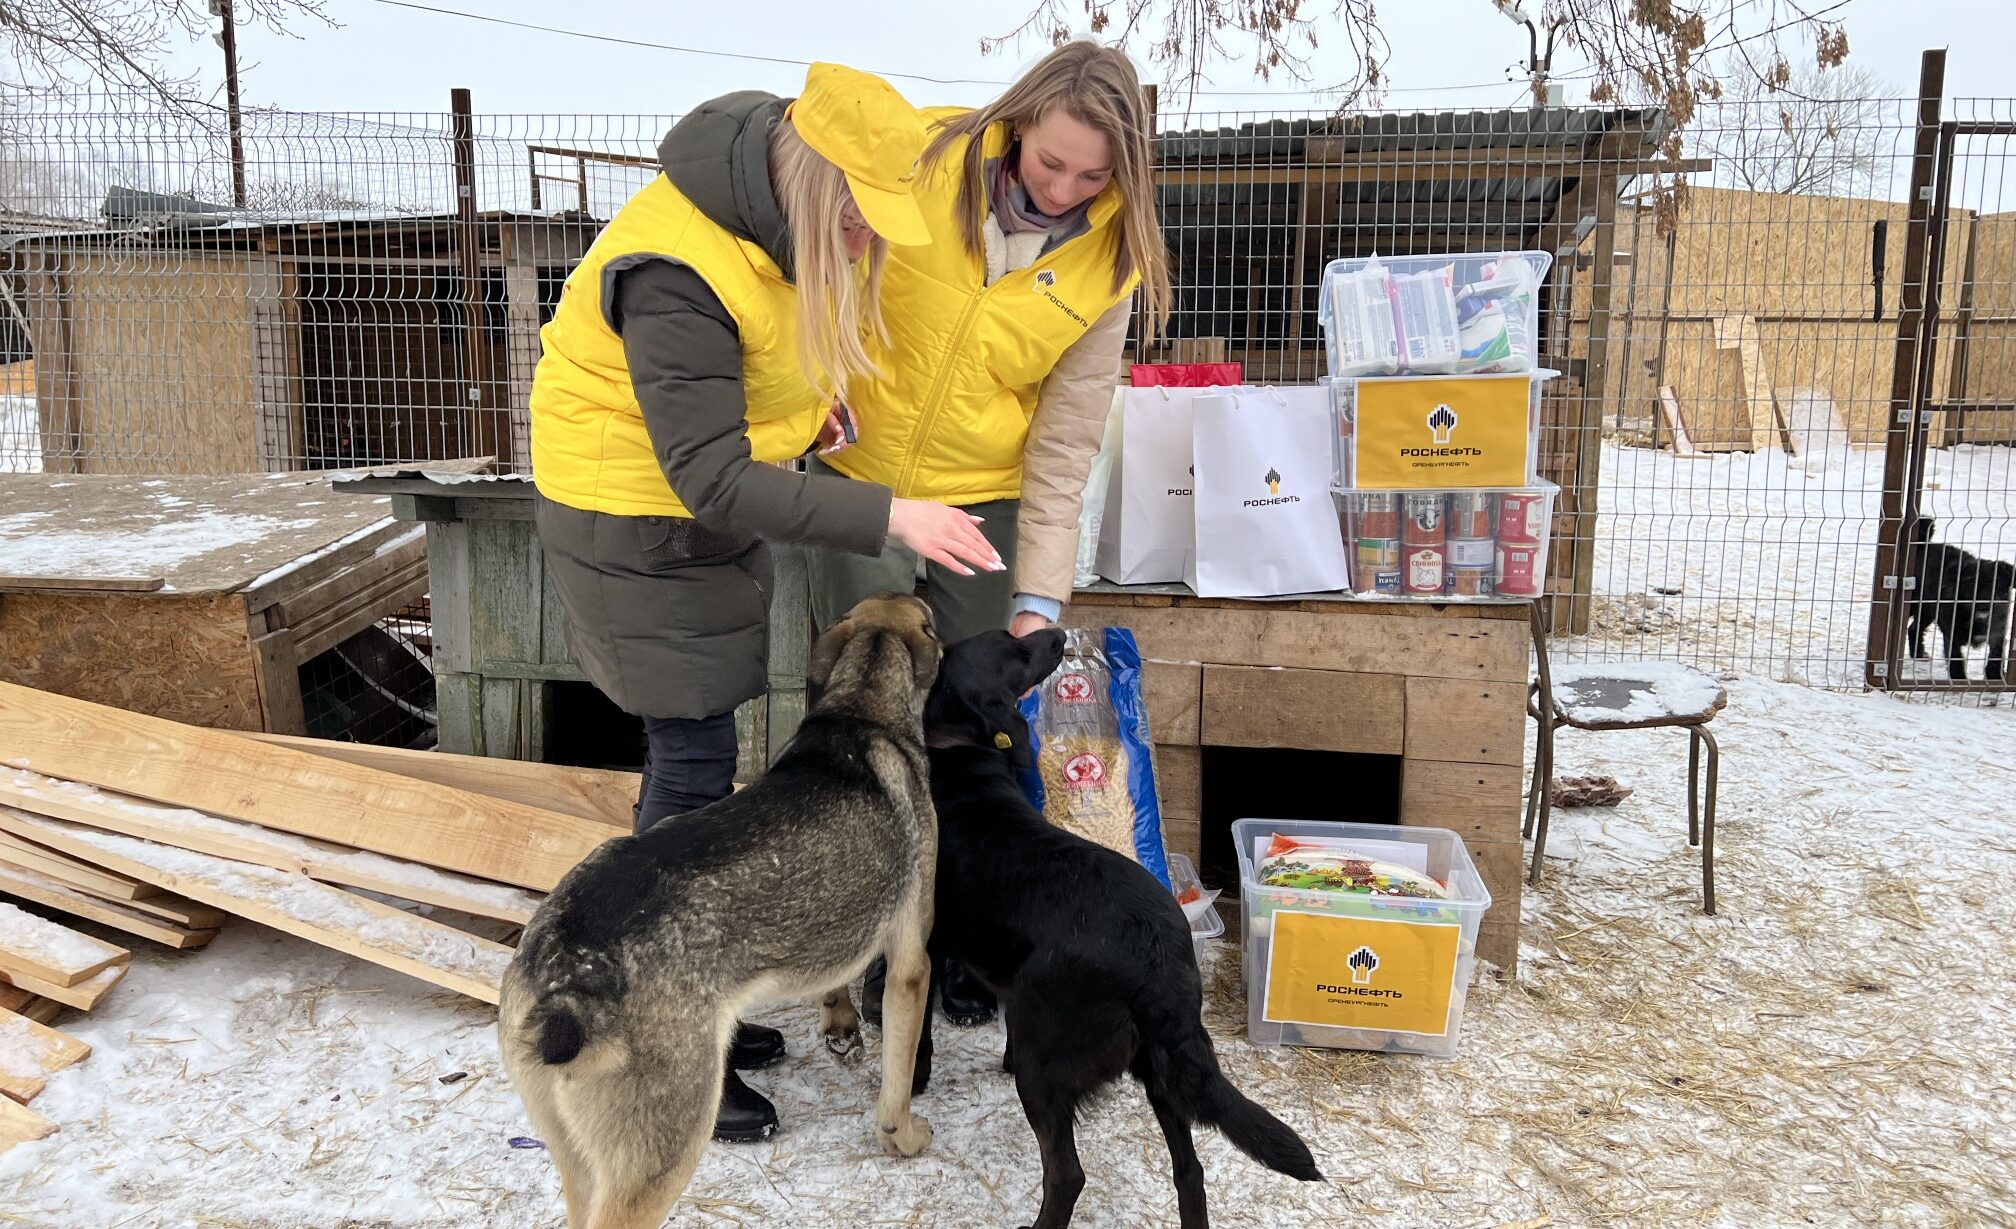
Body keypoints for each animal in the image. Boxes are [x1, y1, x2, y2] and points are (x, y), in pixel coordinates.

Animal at [915, 628, 1322, 1216]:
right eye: (1013, 649)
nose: (1056, 634)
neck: (960, 751)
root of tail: (1161, 968)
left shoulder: (921, 941)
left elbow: (914, 1035)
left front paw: (914, 1080)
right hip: (1161, 1069)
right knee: (1189, 1170)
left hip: (1051, 1075)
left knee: (1067, 1176)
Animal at [1895, 509, 2007, 672]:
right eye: (1969, 583)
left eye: (1994, 583)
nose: (1983, 604)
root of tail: (1922, 546)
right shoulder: (1952, 639)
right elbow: (1957, 665)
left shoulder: (1997, 636)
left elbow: (1995, 658)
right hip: (1913, 606)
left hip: (1927, 611)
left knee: (1913, 629)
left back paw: (1919, 654)